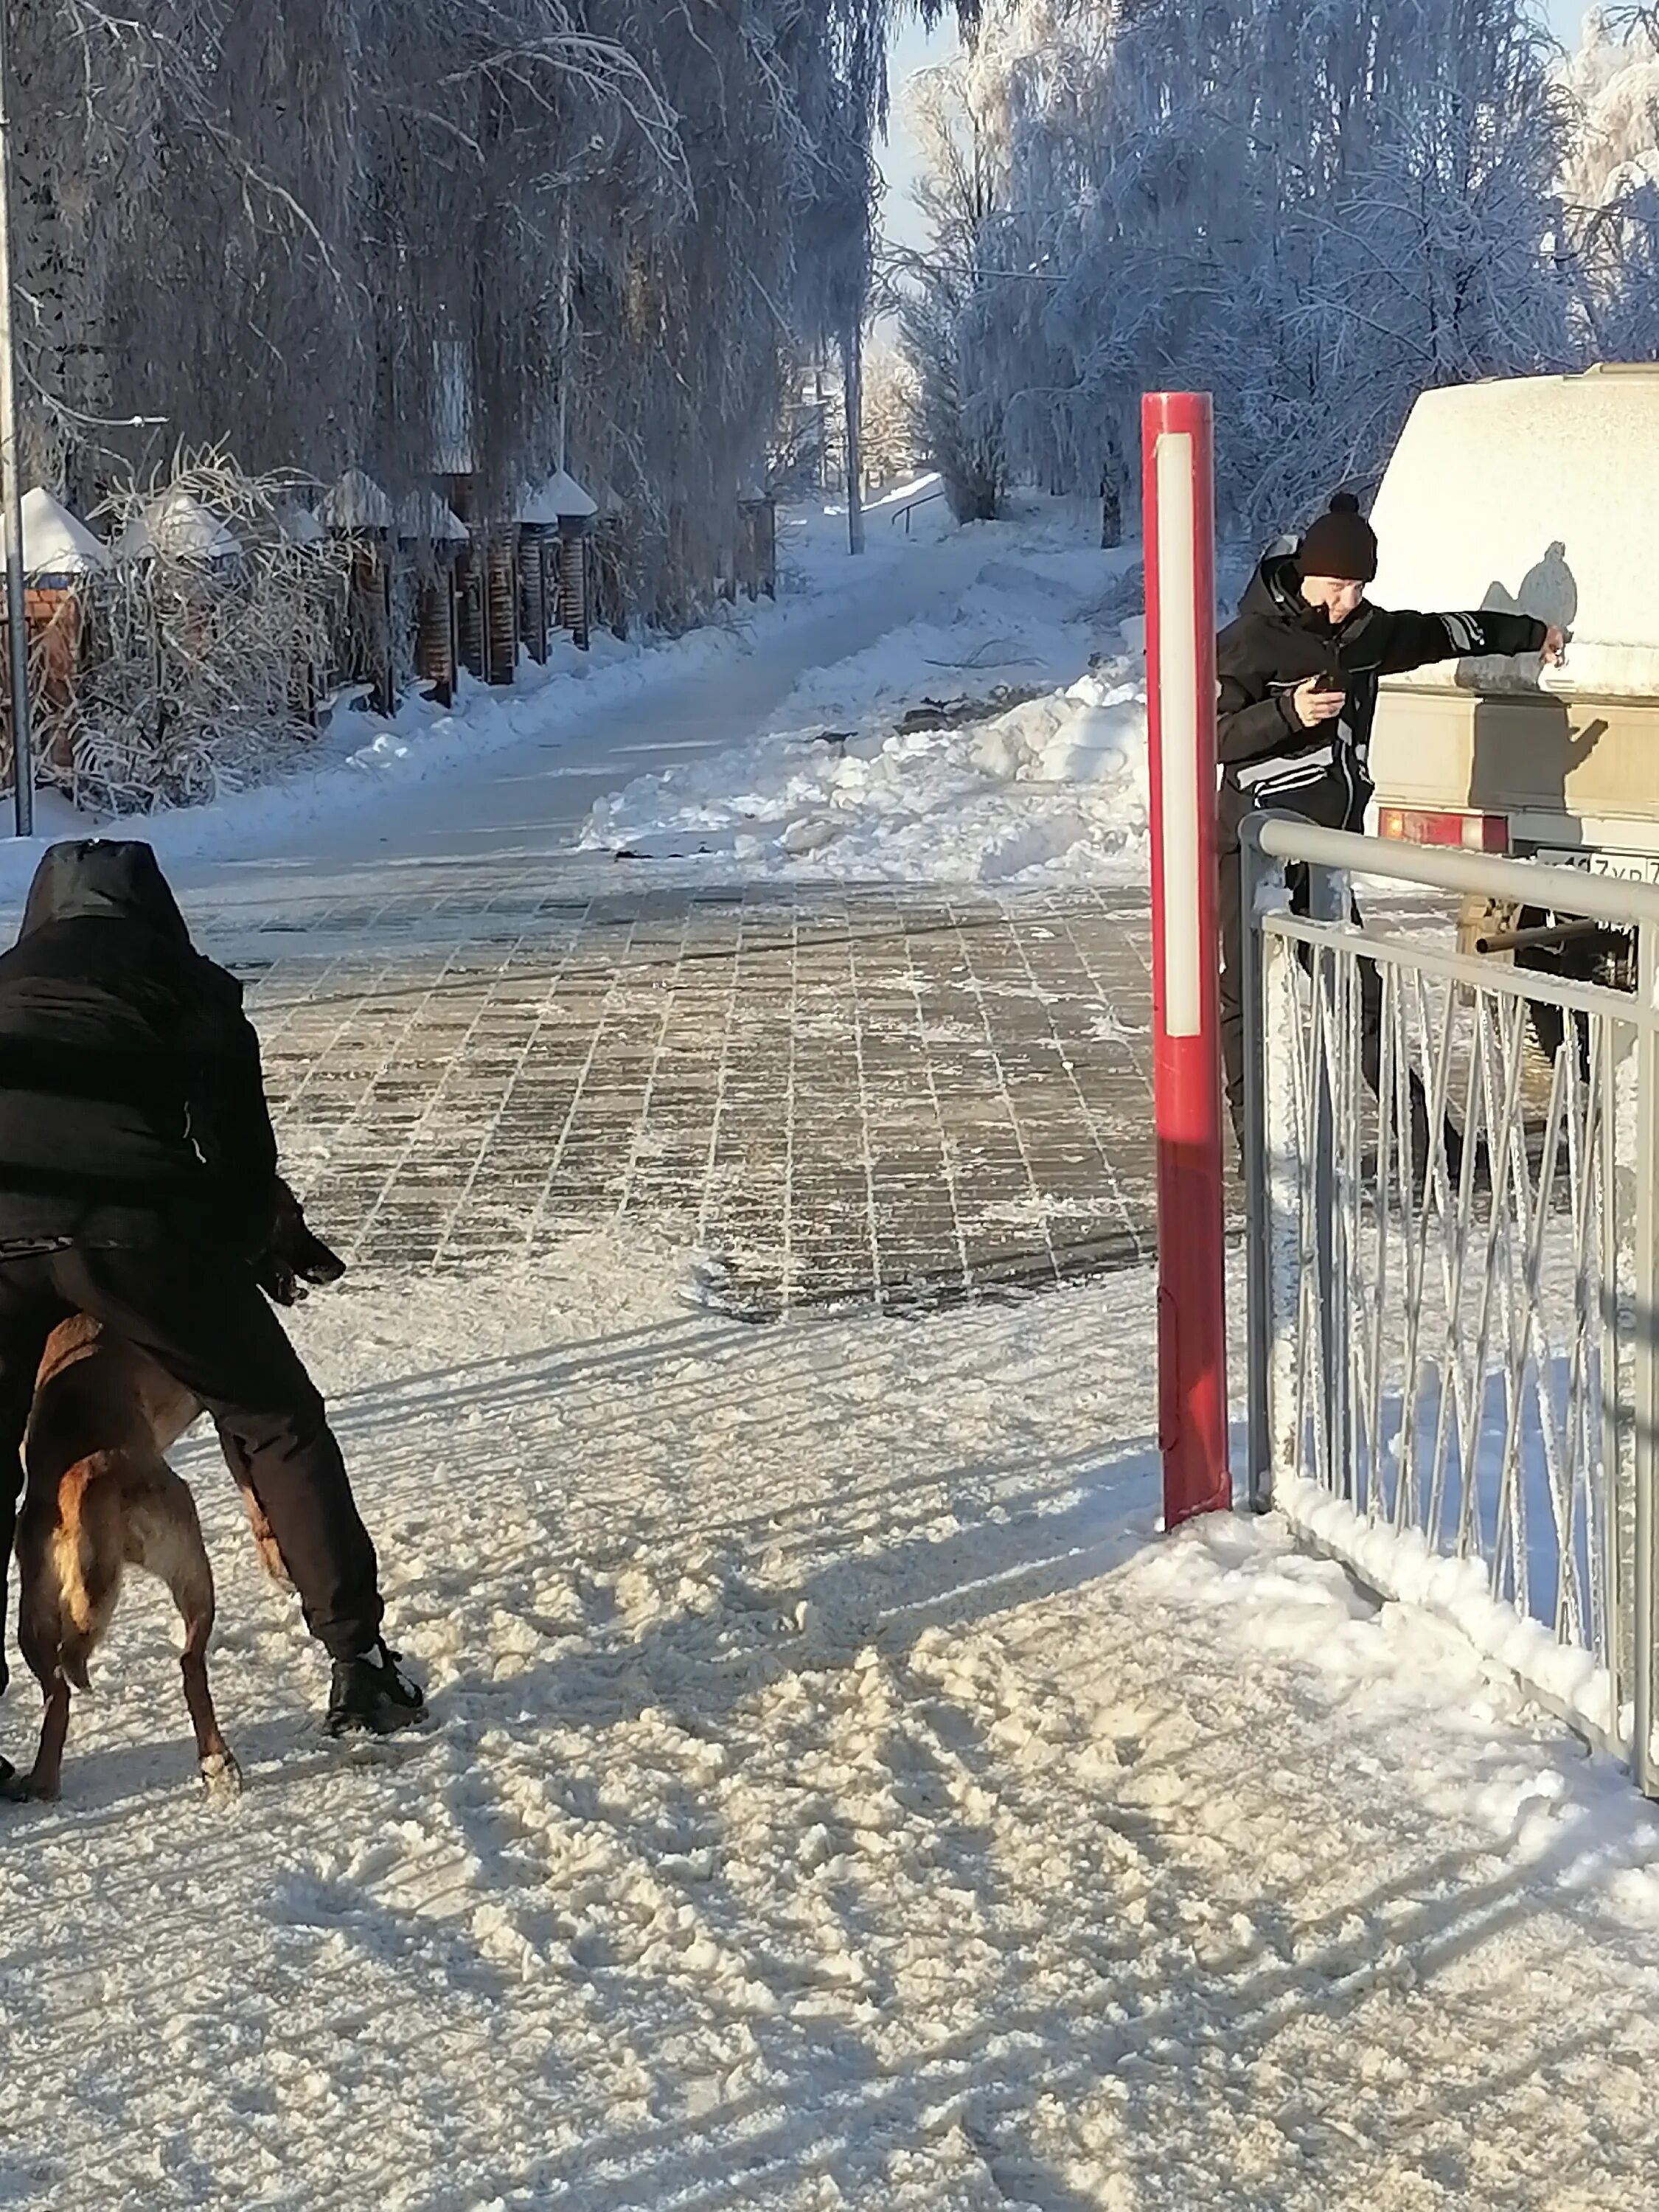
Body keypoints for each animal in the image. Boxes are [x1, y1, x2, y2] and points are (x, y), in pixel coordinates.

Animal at [4, 1186, 345, 1805]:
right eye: (293, 1216)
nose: (336, 1266)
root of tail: (85, 1486)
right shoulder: (226, 1419)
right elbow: (257, 1501)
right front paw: (279, 1563)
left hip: (33, 1619)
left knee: (58, 1692)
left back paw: (41, 1781)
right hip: (191, 1565)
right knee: (190, 1666)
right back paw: (219, 1762)